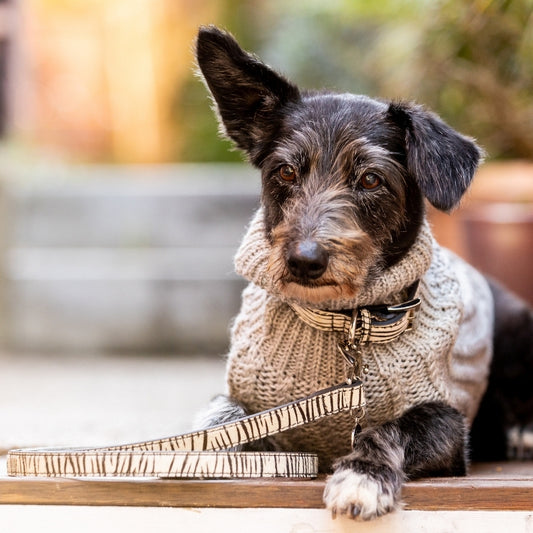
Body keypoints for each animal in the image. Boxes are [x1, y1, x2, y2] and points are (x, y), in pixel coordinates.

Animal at [194, 26, 532, 520]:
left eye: (371, 179)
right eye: (286, 171)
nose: (304, 260)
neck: (343, 321)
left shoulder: (447, 421)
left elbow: (386, 429)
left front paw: (362, 476)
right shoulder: (247, 398)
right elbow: (220, 419)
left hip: (515, 323)